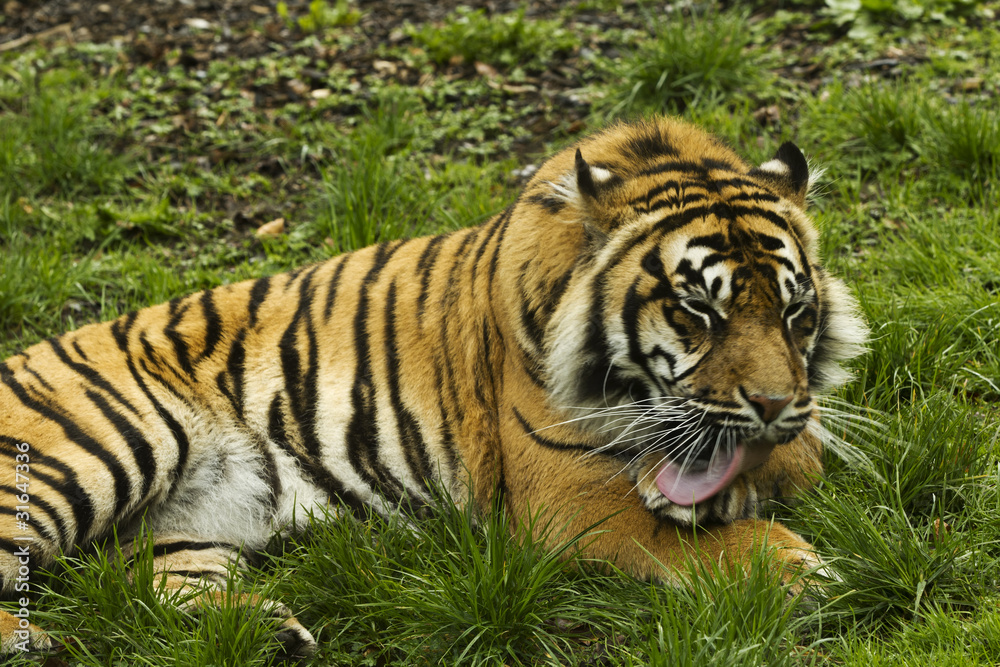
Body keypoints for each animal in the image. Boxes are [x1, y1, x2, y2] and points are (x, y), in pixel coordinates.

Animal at [0, 118, 868, 656]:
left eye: (794, 312)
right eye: (697, 311)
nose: (770, 405)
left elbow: (797, 458)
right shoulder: (566, 500)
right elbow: (681, 534)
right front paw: (792, 564)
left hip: (183, 526)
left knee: (149, 583)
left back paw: (266, 633)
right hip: (96, 451)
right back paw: (36, 643)